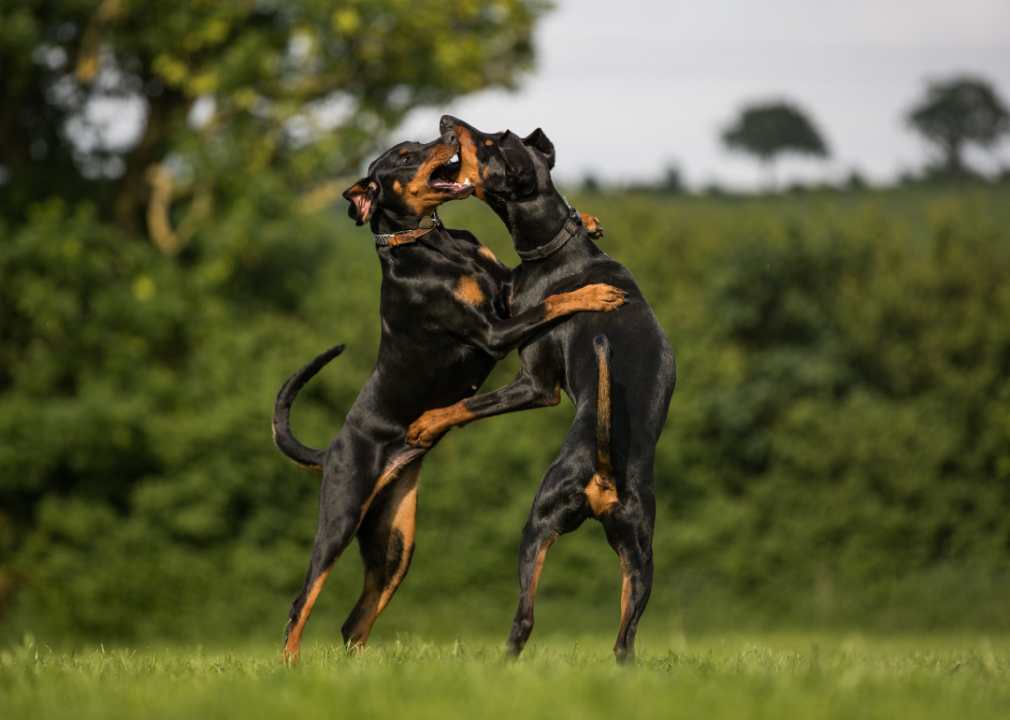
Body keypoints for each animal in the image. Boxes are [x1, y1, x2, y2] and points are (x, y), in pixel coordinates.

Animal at [404, 118, 678, 662]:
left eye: (488, 142)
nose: (447, 122)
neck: (555, 249)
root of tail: (604, 472)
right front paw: (589, 219)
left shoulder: (535, 382)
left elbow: (467, 404)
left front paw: (425, 423)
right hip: (640, 557)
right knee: (624, 642)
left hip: (537, 524)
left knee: (525, 619)